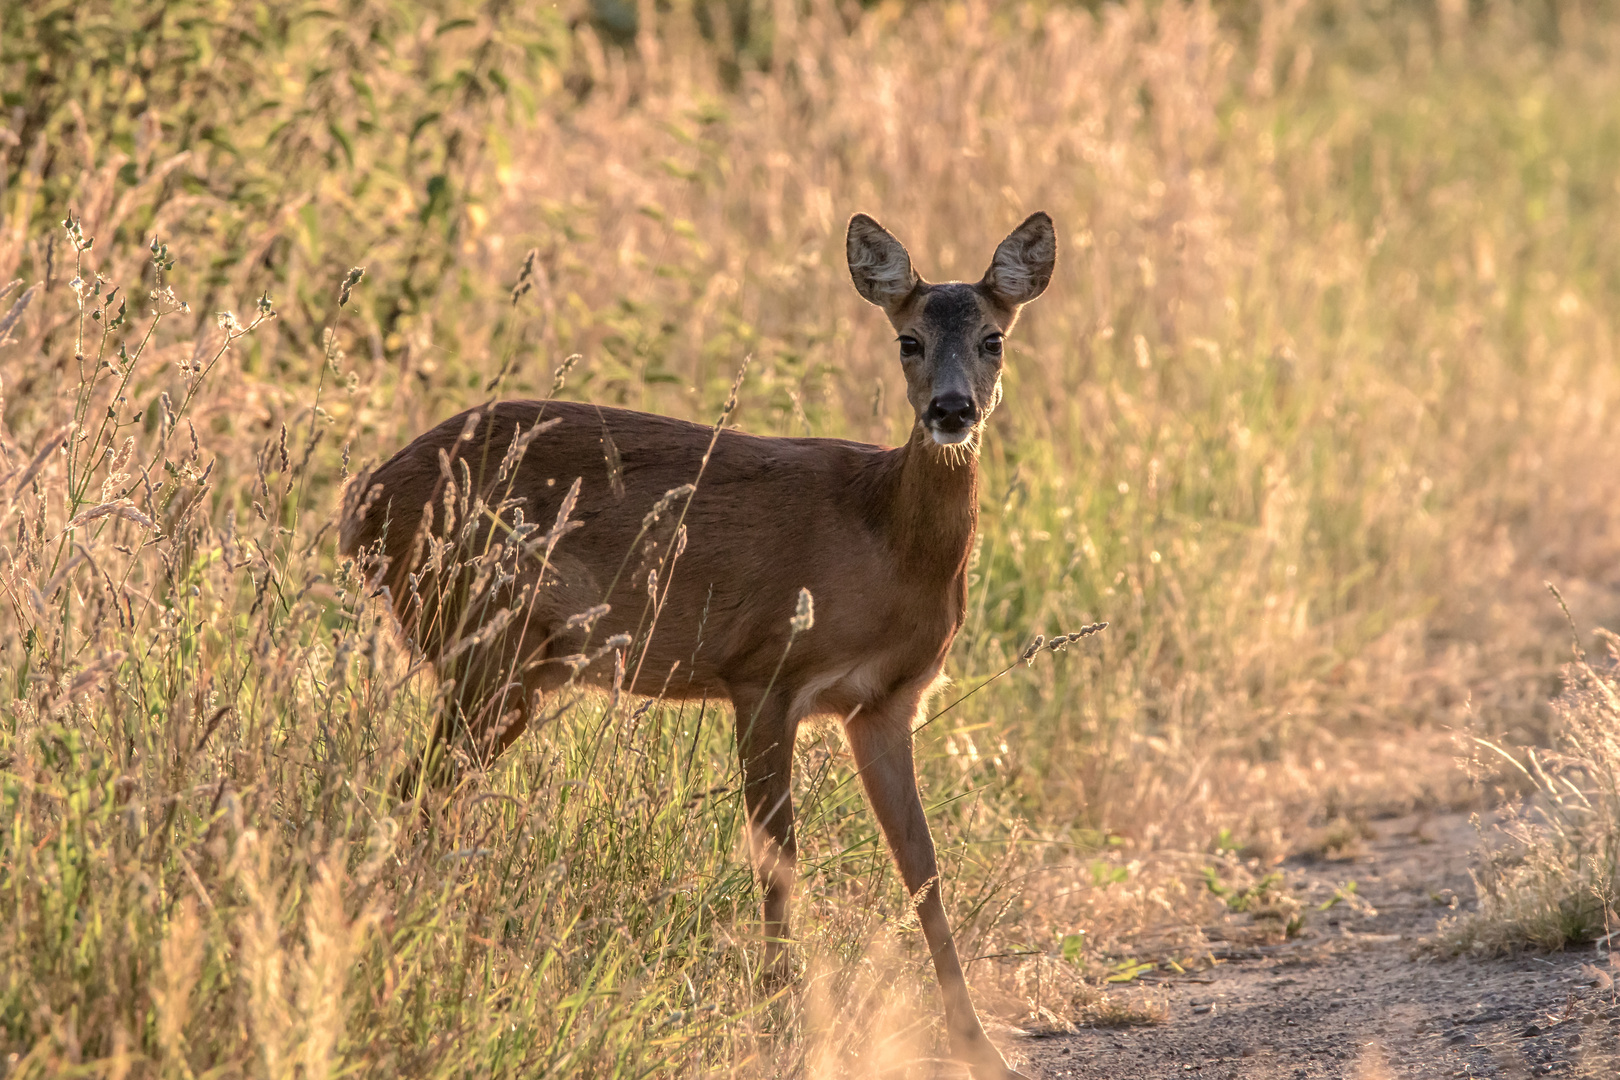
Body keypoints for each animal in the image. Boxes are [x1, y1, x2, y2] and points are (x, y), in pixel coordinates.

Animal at [335, 208, 1056, 1075]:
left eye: (993, 338)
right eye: (907, 340)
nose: (951, 410)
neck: (881, 533)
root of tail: (362, 505)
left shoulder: (884, 704)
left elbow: (922, 868)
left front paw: (977, 1046)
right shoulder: (764, 671)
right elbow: (778, 860)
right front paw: (788, 1025)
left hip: (516, 667)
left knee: (422, 795)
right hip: (480, 641)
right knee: (412, 790)